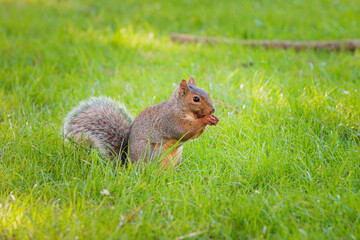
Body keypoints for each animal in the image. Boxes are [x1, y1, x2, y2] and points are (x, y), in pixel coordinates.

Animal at [63, 77, 218, 169]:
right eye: (196, 99)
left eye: (207, 93)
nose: (212, 109)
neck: (181, 109)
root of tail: (129, 166)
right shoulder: (170, 120)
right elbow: (185, 130)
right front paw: (205, 119)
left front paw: (213, 118)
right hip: (151, 153)